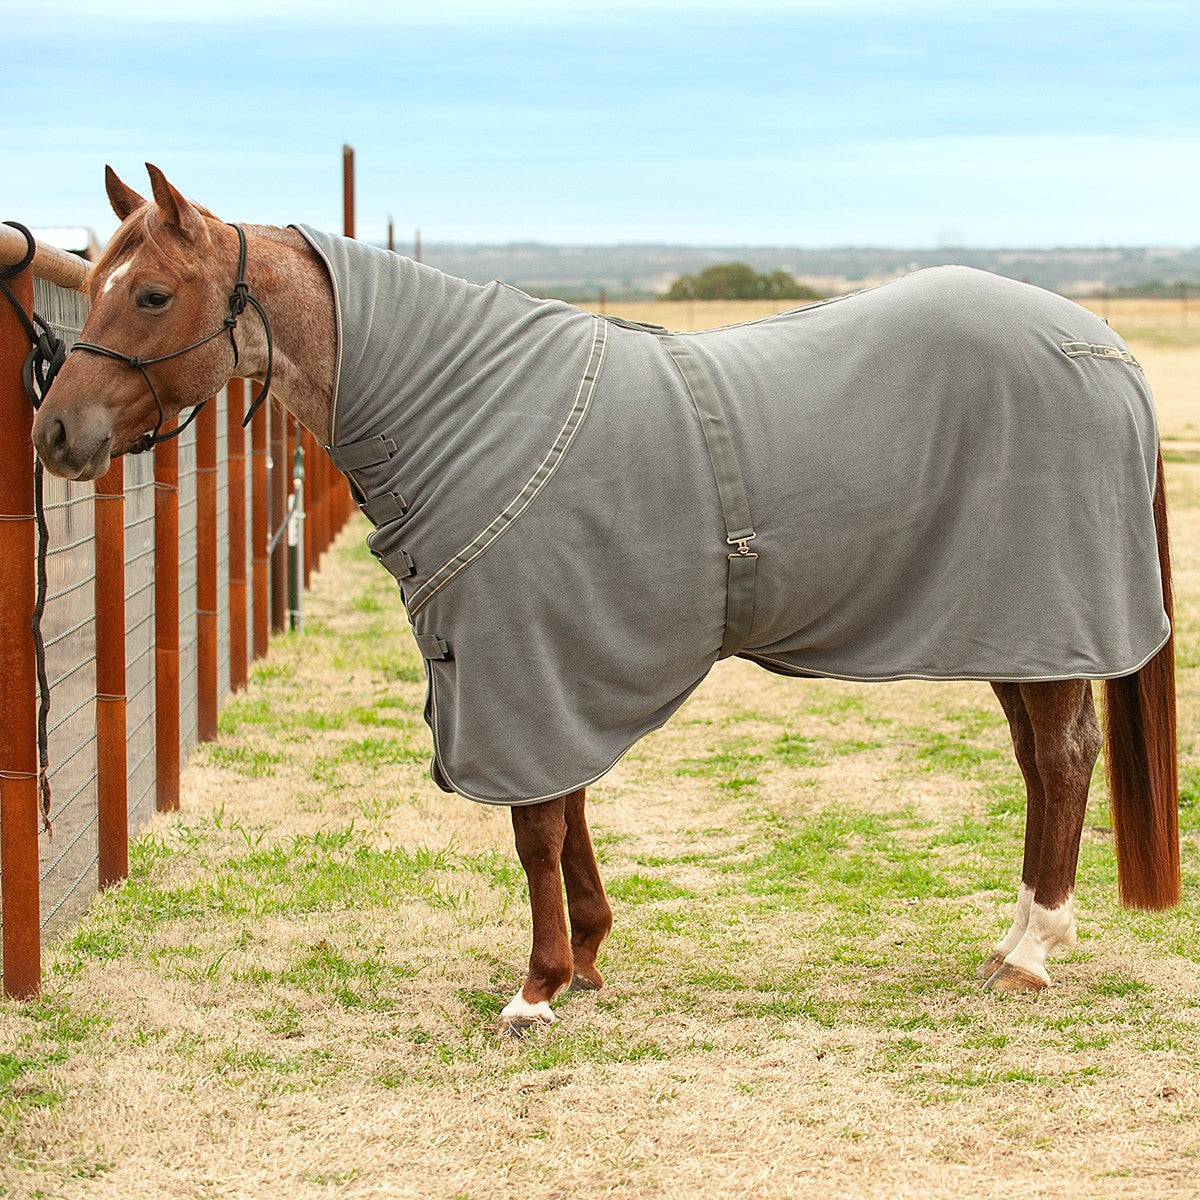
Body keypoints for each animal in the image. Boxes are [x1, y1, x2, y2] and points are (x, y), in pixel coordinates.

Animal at [32, 165, 1178, 1034]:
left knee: (1063, 759)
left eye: (148, 294)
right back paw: (1013, 941)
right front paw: (584, 957)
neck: (467, 407)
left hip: (1042, 619)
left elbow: (536, 823)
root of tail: (1101, 343)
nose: (54, 433)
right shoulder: (550, 660)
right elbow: (567, 801)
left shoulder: (522, 658)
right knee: (1041, 762)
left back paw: (1031, 954)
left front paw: (536, 989)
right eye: (96, 286)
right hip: (1013, 631)